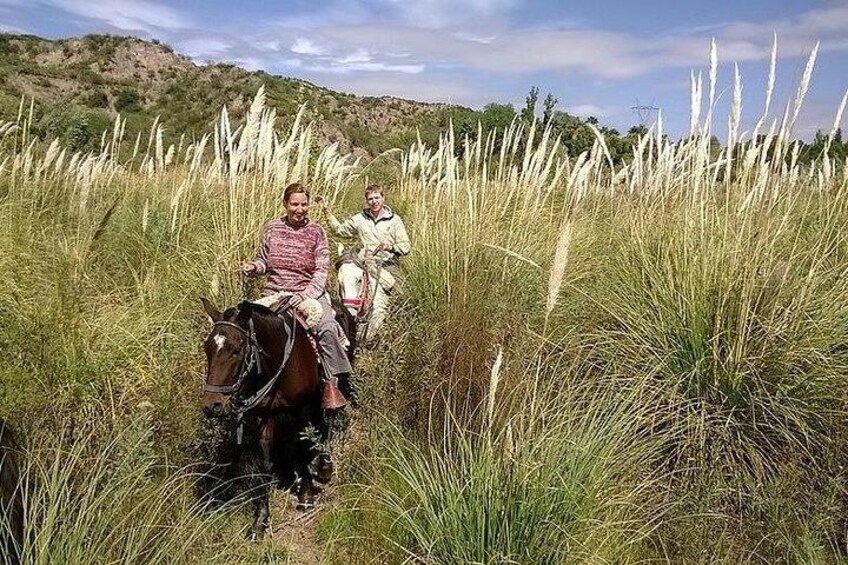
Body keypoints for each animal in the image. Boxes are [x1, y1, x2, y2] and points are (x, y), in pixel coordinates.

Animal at [199, 296, 348, 536]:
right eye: (207, 348)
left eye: (237, 349)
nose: (212, 405)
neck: (279, 362)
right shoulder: (264, 415)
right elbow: (265, 463)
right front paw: (259, 521)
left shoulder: (302, 408)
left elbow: (303, 445)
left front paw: (306, 496)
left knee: (328, 420)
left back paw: (324, 466)